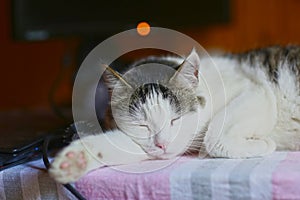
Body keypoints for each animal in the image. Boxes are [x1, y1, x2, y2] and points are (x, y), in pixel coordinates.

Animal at [49, 45, 300, 183]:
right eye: (142, 126)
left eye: (175, 120)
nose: (163, 145)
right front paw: (74, 160)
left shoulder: (256, 90)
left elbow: (213, 138)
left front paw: (264, 144)